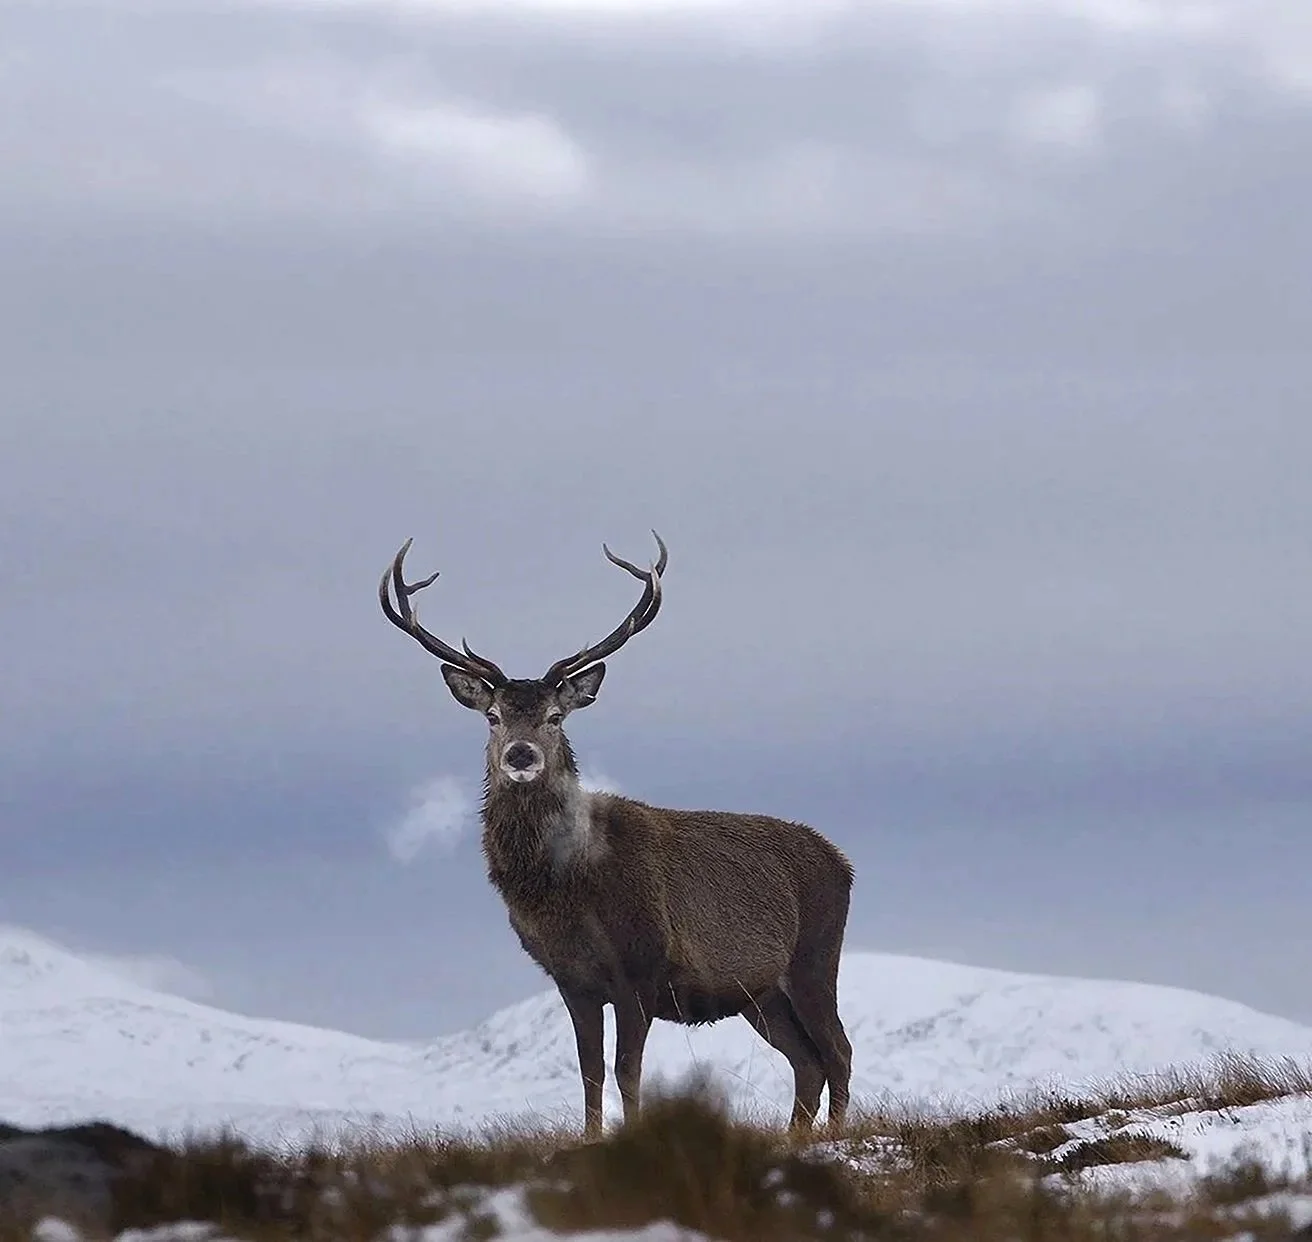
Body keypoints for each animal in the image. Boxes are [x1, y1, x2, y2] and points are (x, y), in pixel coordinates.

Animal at [379, 532, 854, 1140]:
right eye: (492, 715)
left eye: (556, 716)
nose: (521, 756)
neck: (567, 891)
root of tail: (843, 862)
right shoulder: (571, 981)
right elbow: (589, 1072)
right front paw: (590, 1138)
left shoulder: (641, 969)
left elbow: (628, 1071)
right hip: (760, 993)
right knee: (807, 1061)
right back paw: (796, 1138)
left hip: (815, 957)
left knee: (838, 1050)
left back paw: (833, 1136)